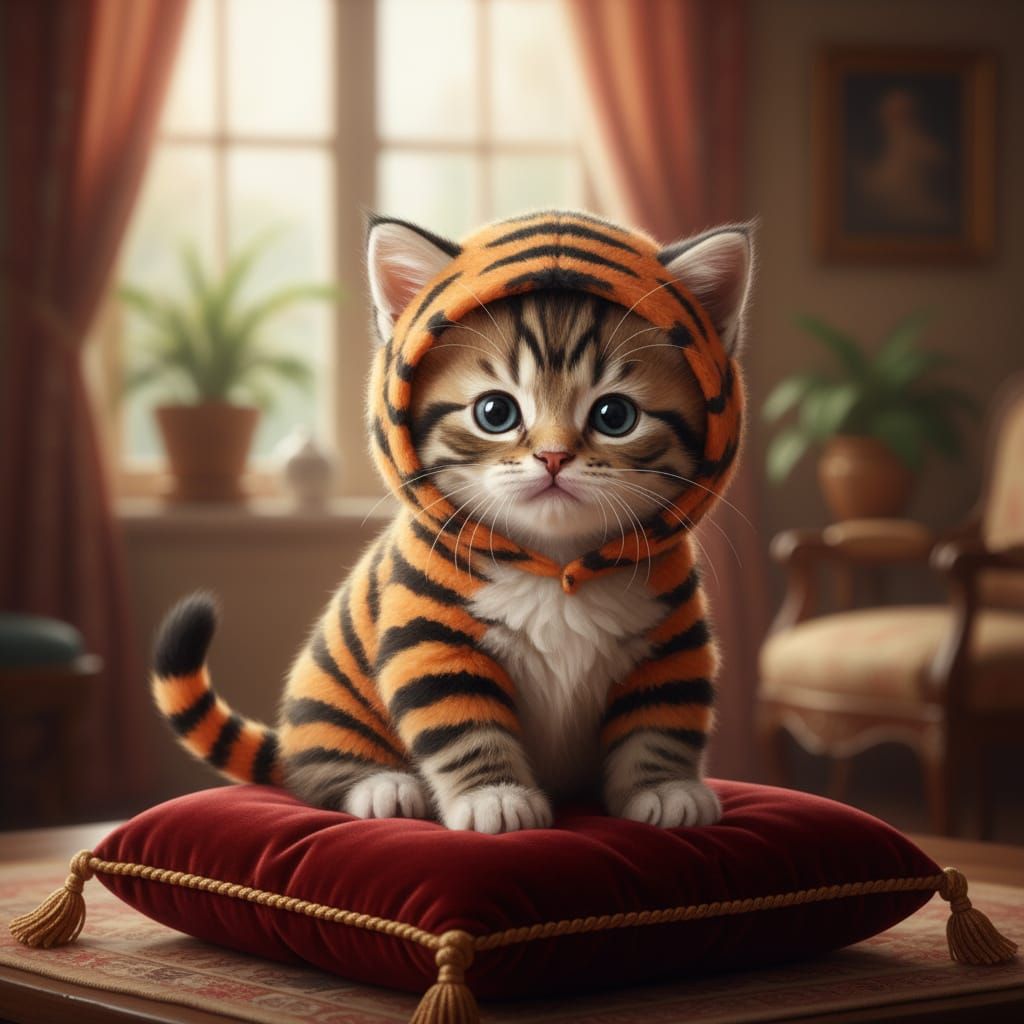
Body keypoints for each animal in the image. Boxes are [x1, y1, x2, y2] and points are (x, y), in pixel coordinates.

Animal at [151, 210, 752, 834]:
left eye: (615, 416)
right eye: (496, 412)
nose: (554, 457)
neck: (556, 562)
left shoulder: (672, 641)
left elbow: (661, 721)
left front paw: (665, 787)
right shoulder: (432, 641)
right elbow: (463, 726)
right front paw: (496, 796)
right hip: (328, 697)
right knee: (317, 770)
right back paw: (381, 786)